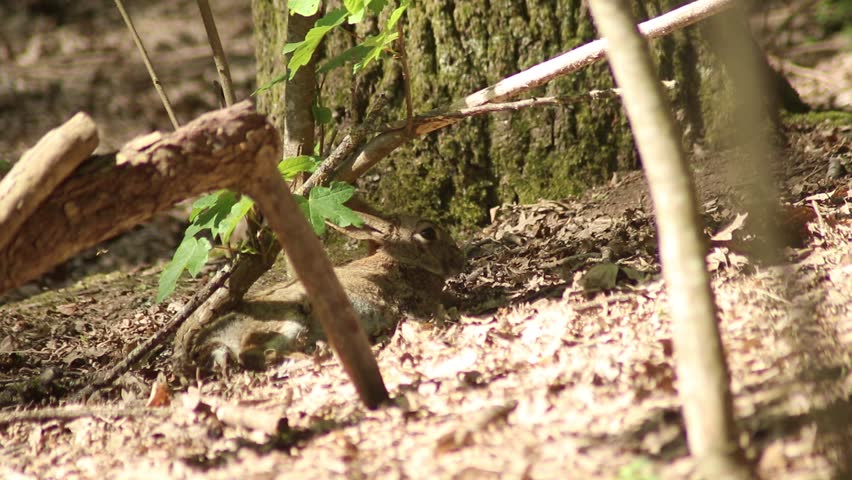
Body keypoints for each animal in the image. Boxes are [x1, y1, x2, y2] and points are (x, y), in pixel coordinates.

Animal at [174, 212, 465, 374]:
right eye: (428, 233)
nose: (458, 258)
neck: (401, 259)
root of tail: (218, 337)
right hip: (289, 316)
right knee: (252, 353)